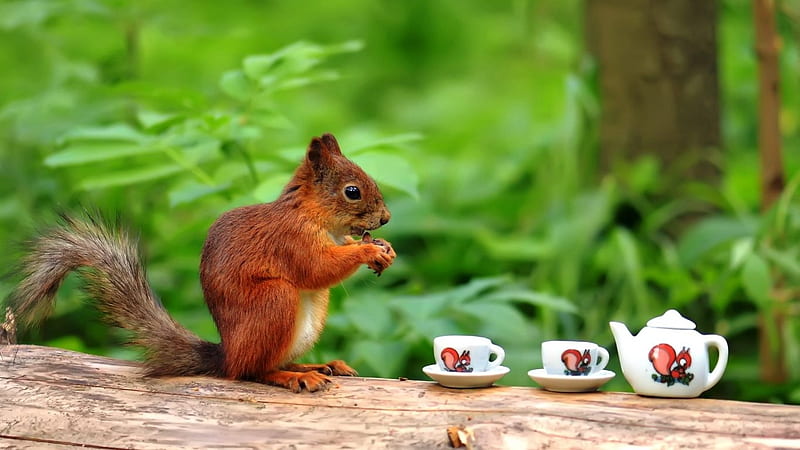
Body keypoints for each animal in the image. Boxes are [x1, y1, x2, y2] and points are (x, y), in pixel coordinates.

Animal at [6, 132, 394, 392]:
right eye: (352, 191)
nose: (386, 218)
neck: (314, 215)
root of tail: (227, 354)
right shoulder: (290, 240)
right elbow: (316, 268)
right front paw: (368, 252)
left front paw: (383, 248)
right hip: (274, 300)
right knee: (251, 371)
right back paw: (294, 376)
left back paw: (319, 364)